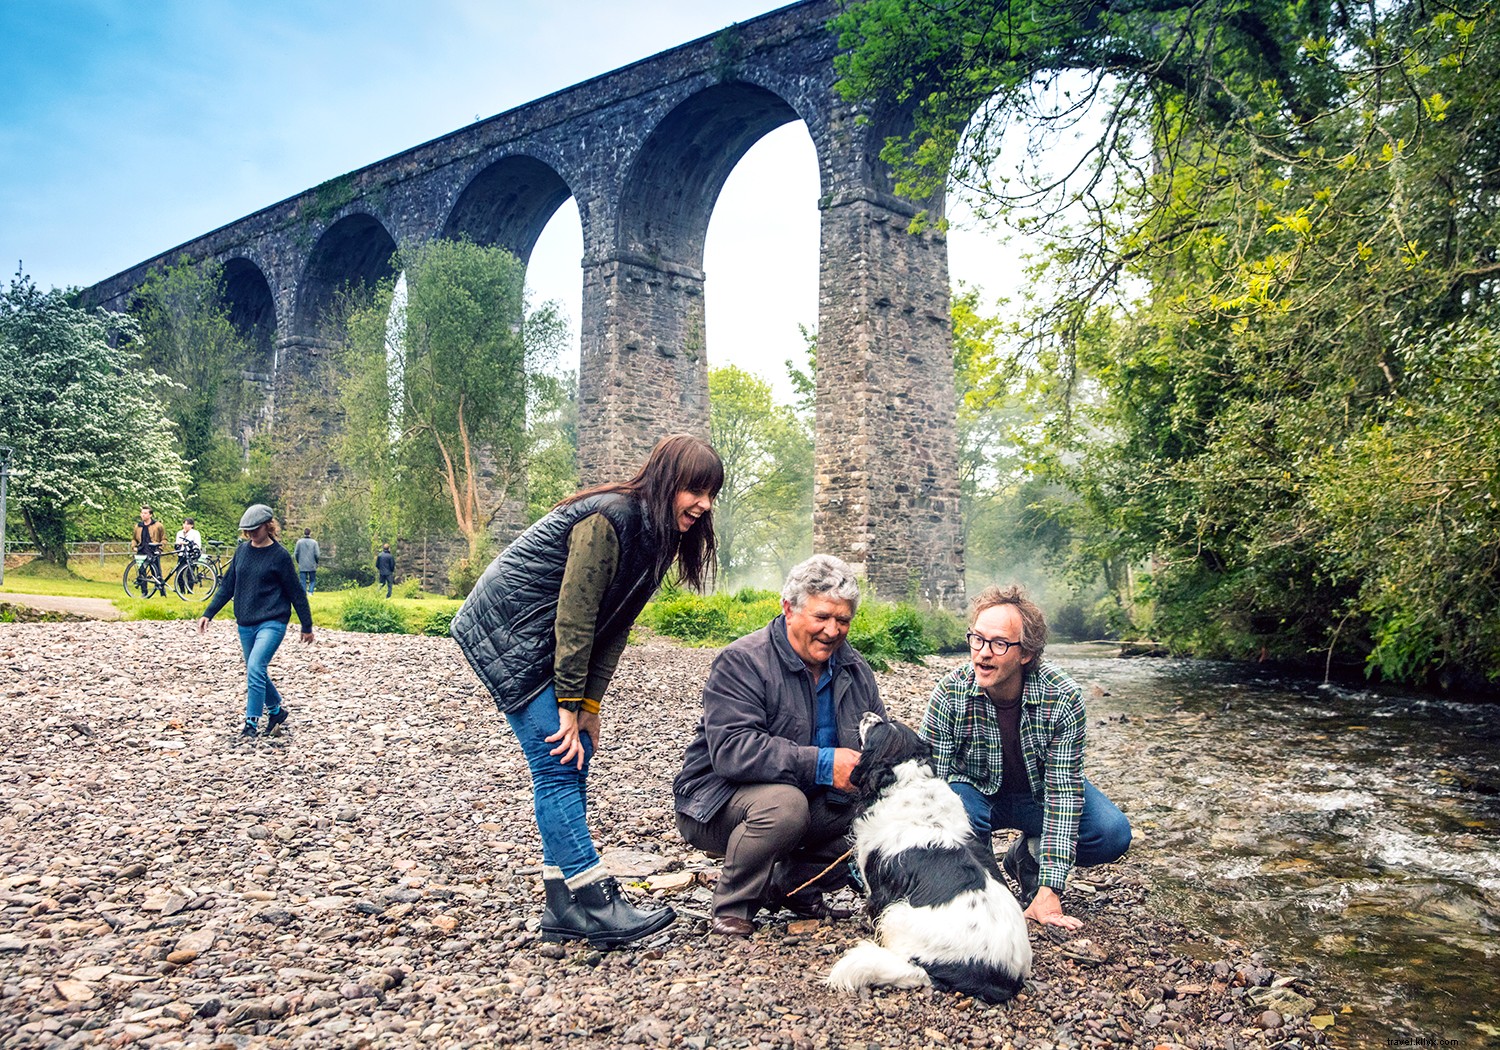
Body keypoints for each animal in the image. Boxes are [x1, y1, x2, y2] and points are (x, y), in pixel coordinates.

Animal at [822, 714, 1032, 1002]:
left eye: (877, 727)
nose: (867, 715)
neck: (909, 779)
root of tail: (1005, 979)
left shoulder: (879, 889)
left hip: (897, 914)